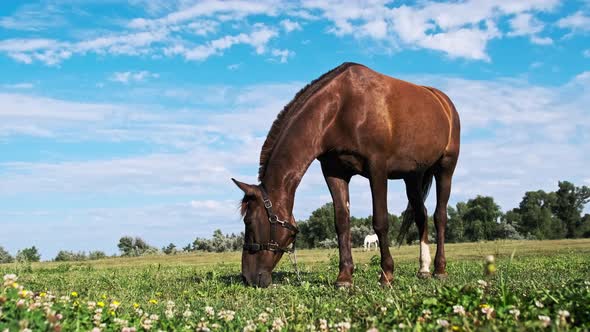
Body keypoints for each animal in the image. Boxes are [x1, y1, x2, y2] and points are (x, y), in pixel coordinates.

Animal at [235, 62, 462, 288]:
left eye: (249, 222)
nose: (247, 277)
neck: (340, 108)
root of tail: (444, 104)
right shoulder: (335, 172)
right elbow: (342, 222)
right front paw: (344, 277)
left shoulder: (377, 168)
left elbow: (381, 221)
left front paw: (386, 274)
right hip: (413, 177)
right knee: (421, 215)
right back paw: (423, 269)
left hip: (445, 169)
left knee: (439, 216)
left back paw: (440, 269)